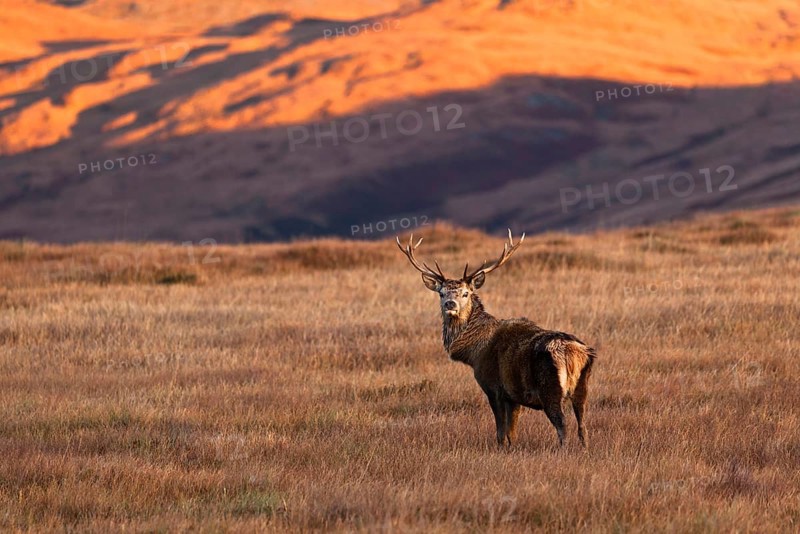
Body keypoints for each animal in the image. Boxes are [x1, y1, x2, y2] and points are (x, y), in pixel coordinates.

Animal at [396, 230, 596, 448]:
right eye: (441, 293)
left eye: (465, 293)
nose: (450, 304)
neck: (474, 353)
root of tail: (573, 353)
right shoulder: (514, 395)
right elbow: (512, 432)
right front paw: (513, 448)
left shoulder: (493, 387)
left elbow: (501, 432)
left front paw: (500, 448)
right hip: (582, 386)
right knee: (583, 425)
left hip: (550, 387)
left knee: (562, 424)